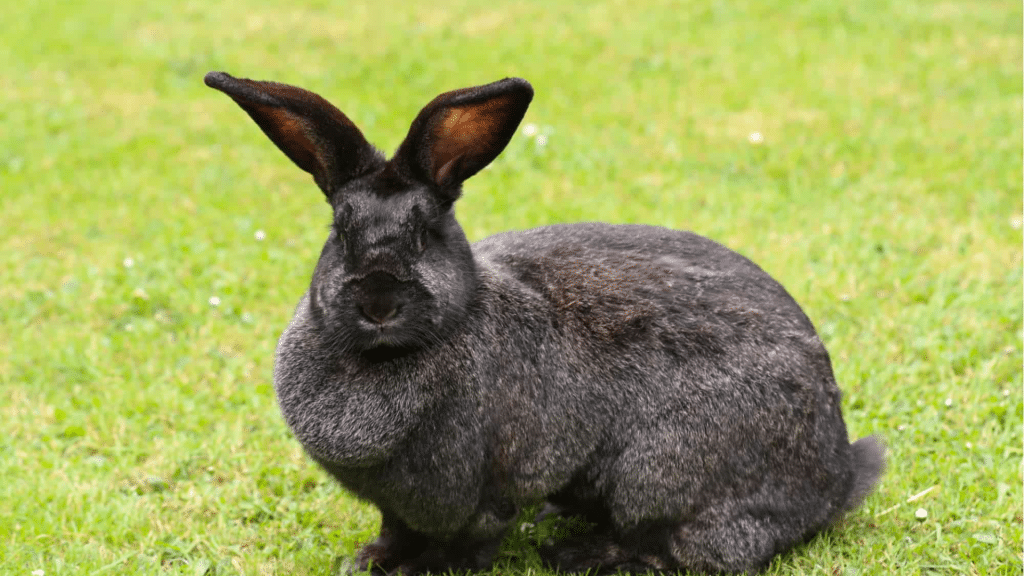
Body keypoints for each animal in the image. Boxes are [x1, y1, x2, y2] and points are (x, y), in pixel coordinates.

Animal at [204, 71, 885, 575]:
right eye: (340, 234)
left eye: (425, 234)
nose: (378, 302)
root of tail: (835, 479)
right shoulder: (398, 505)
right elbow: (395, 529)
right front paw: (373, 560)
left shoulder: (482, 491)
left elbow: (469, 540)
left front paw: (424, 567)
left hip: (659, 476)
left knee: (685, 547)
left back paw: (581, 551)